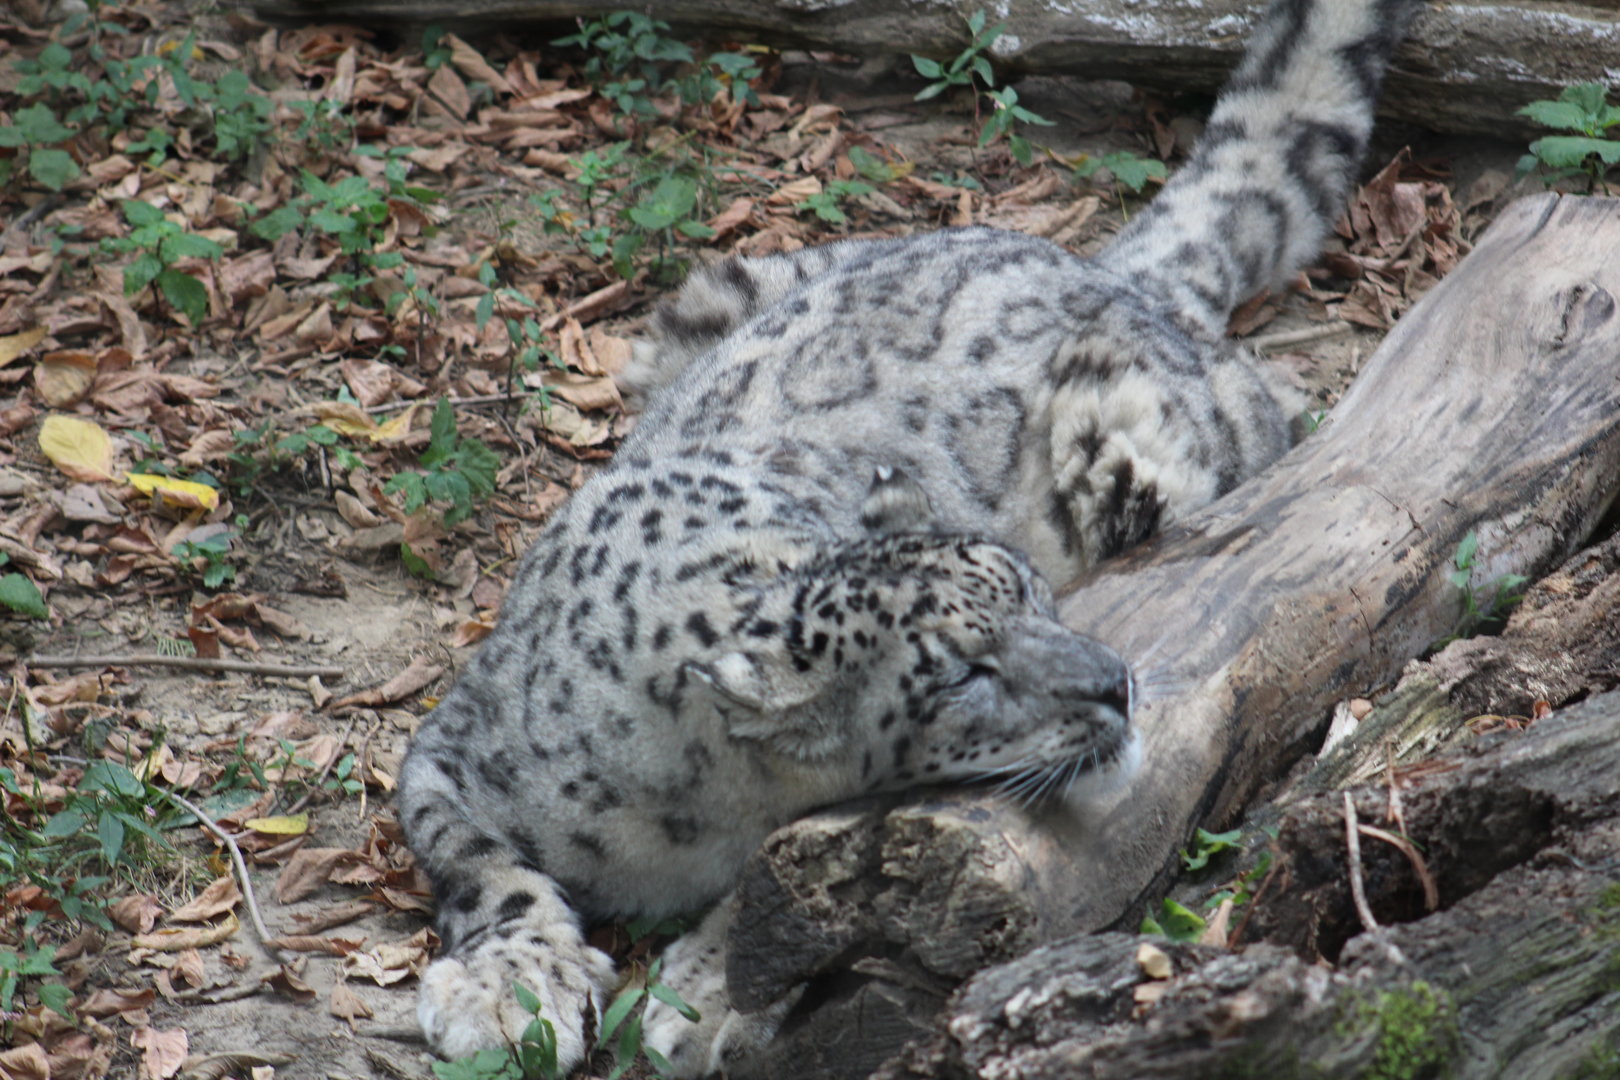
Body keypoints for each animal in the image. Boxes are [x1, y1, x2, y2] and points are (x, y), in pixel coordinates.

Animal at [395, 0, 1422, 1074]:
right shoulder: (453, 755)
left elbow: (785, 892)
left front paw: (705, 994)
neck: (693, 815)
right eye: (963, 674)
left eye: (1032, 593)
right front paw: (510, 988)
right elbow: (480, 865)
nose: (1115, 682)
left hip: (1148, 442)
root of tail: (1105, 267)